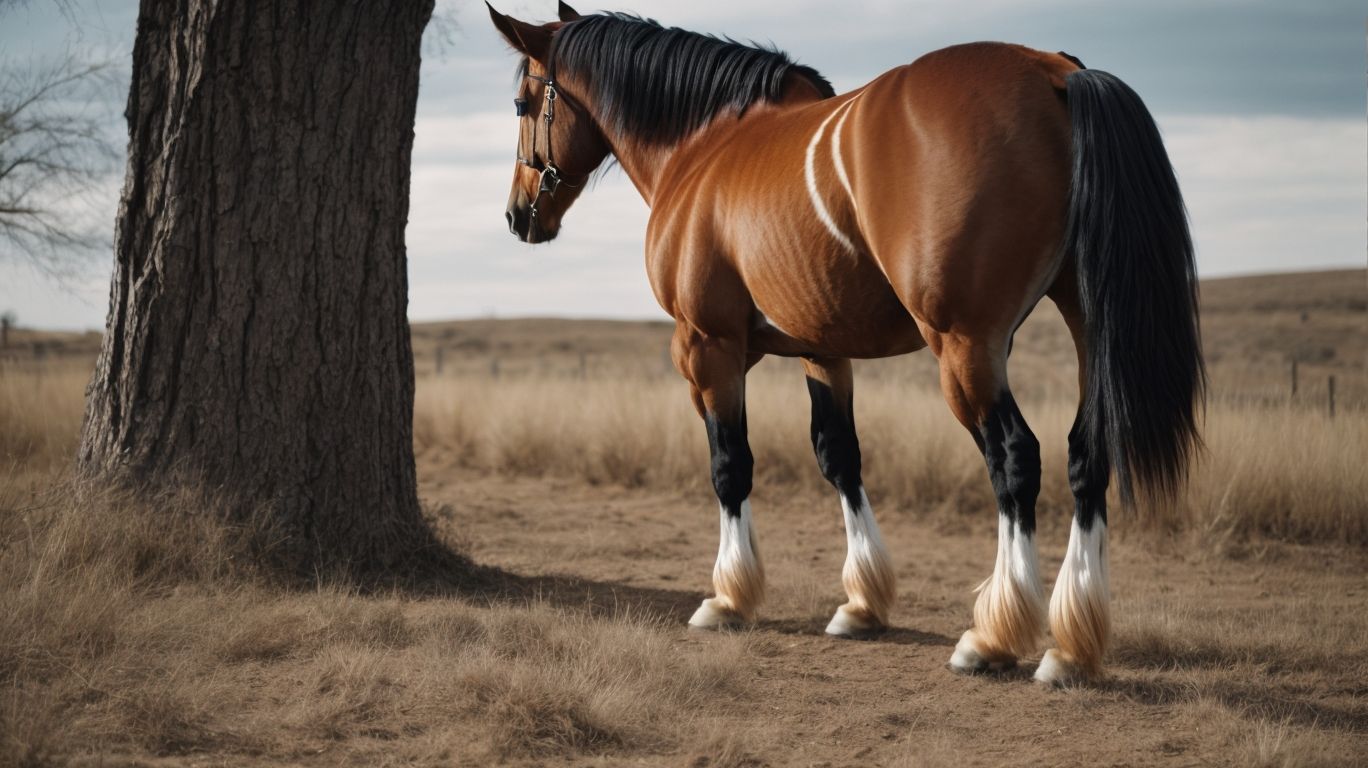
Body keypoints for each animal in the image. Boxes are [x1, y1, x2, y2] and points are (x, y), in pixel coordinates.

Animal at [486, 2, 1204, 685]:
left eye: (522, 103)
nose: (518, 216)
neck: (703, 148)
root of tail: (1052, 72)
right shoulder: (822, 350)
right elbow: (841, 458)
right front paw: (861, 604)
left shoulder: (707, 347)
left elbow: (730, 464)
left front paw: (730, 597)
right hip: (1083, 323)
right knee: (1088, 454)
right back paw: (1074, 646)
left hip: (966, 345)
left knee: (1015, 459)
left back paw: (994, 636)